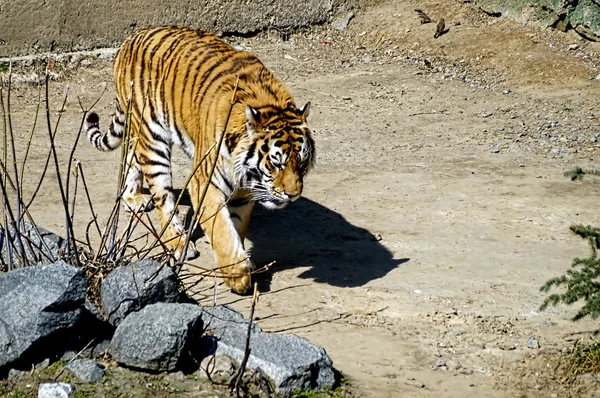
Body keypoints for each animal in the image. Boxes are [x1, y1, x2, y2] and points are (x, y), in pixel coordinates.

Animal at [87, 24, 318, 292]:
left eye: (301, 163)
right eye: (275, 163)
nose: (293, 195)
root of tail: (130, 39)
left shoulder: (243, 192)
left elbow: (236, 226)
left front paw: (237, 266)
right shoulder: (205, 183)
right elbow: (221, 229)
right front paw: (238, 274)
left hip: (139, 132)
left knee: (132, 158)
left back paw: (132, 198)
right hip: (153, 136)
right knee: (163, 196)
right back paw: (178, 244)